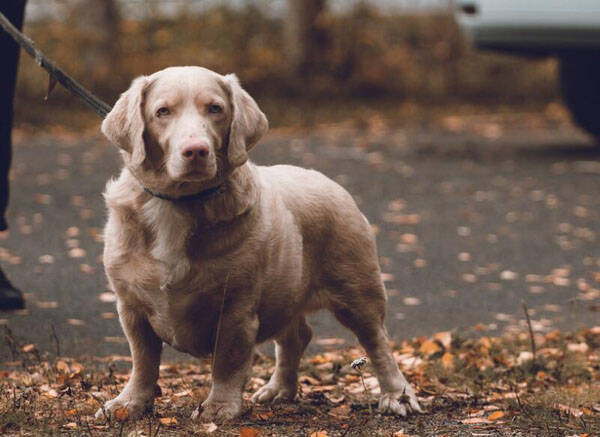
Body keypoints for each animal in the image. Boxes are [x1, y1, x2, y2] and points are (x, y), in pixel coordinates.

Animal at [96, 66, 422, 420]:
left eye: (215, 108)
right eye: (163, 112)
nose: (196, 151)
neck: (180, 203)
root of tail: (327, 180)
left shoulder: (236, 308)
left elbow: (226, 362)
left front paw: (219, 406)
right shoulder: (131, 307)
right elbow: (143, 362)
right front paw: (129, 403)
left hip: (357, 289)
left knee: (378, 343)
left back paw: (397, 395)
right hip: (285, 292)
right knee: (297, 336)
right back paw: (280, 388)